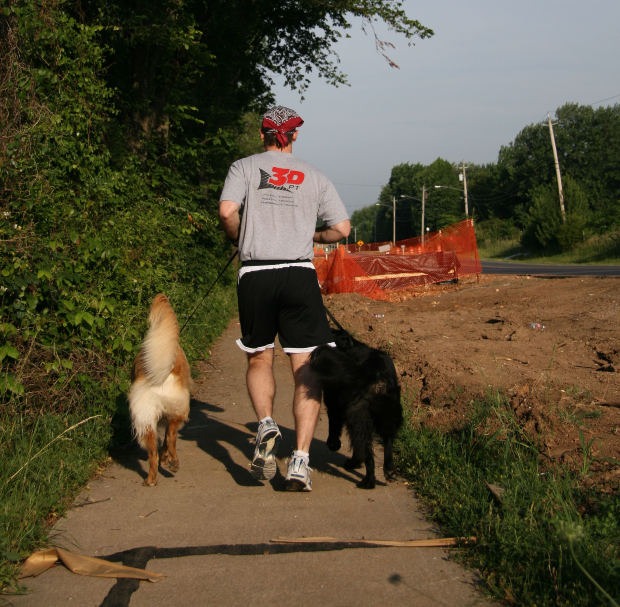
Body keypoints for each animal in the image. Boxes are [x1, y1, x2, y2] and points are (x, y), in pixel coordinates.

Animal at [128, 292, 191, 486]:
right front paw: (167, 458)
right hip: (179, 411)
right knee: (171, 436)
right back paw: (173, 463)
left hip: (145, 419)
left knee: (153, 453)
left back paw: (151, 479)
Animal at [308, 330, 402, 492]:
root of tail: (377, 375)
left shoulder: (335, 404)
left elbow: (334, 426)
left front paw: (333, 444)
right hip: (388, 415)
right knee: (387, 442)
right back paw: (388, 470)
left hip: (360, 417)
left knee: (367, 452)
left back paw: (368, 480)